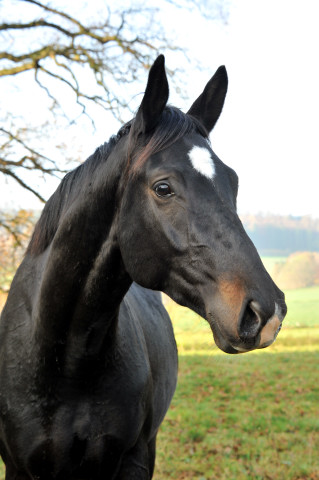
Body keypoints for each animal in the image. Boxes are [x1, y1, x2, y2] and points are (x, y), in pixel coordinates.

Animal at [0, 54, 286, 478]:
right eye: (163, 188)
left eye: (232, 182)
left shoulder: (134, 458)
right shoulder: (20, 467)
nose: (265, 312)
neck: (64, 361)